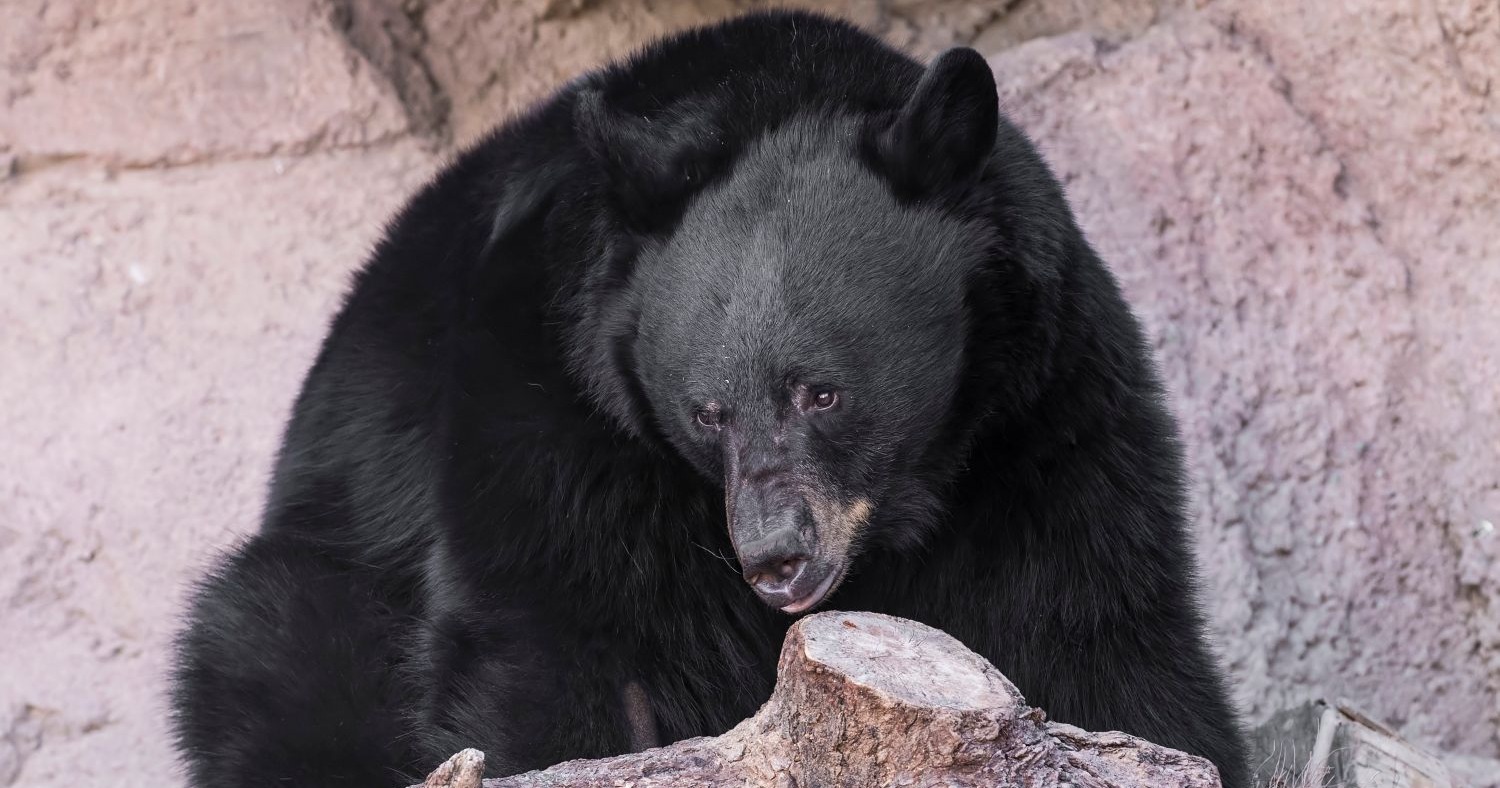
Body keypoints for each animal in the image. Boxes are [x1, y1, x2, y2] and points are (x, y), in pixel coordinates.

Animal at [172, 11, 1250, 788]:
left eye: (823, 392)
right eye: (706, 412)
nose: (775, 558)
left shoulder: (1046, 423)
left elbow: (1100, 632)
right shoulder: (550, 428)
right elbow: (566, 658)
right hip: (308, 586)